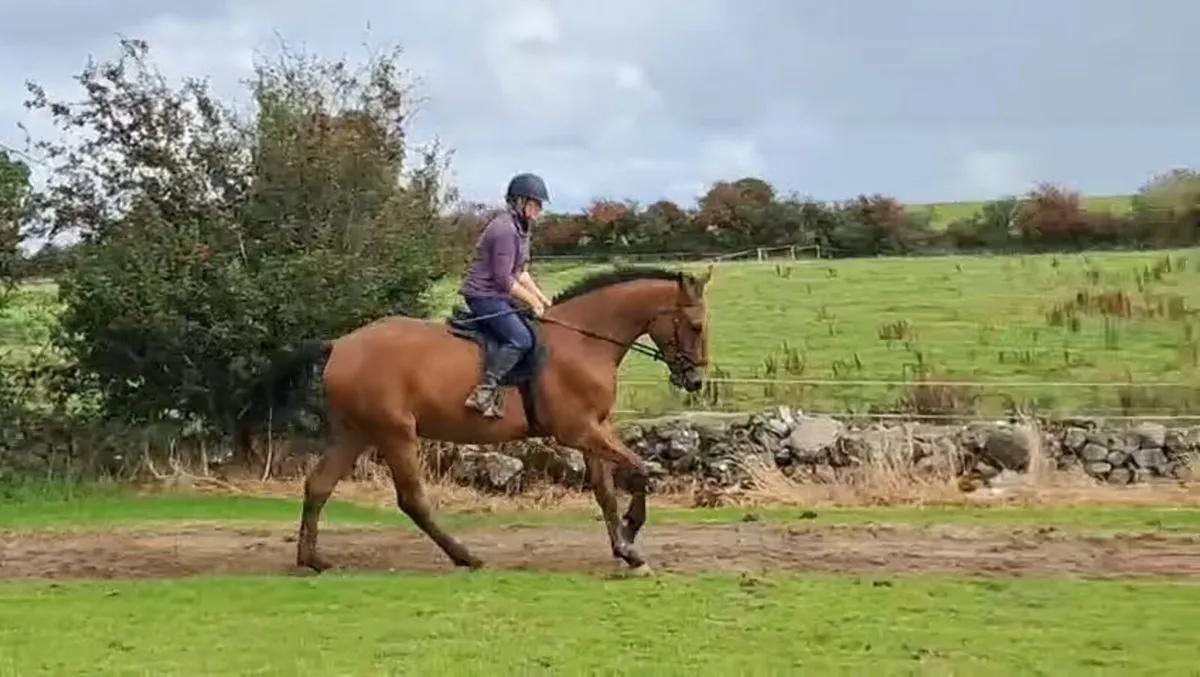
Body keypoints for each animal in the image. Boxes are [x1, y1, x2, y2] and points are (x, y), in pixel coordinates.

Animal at [234, 265, 713, 576]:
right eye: (694, 325)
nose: (695, 380)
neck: (583, 341)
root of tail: (340, 344)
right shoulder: (579, 431)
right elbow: (639, 469)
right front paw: (631, 538)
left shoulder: (594, 431)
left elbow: (606, 493)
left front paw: (624, 547)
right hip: (395, 434)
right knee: (412, 500)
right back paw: (465, 556)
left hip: (356, 433)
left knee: (318, 485)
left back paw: (311, 559)